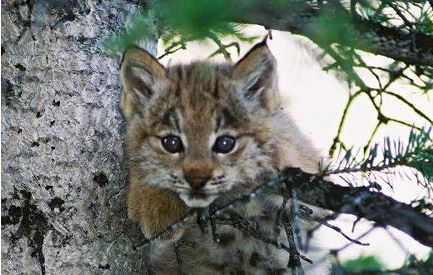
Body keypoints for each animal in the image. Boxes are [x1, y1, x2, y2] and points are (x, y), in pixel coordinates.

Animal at [120, 41, 322, 275]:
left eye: (225, 143)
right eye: (171, 143)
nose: (197, 180)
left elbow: (293, 154)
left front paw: (272, 160)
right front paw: (157, 204)